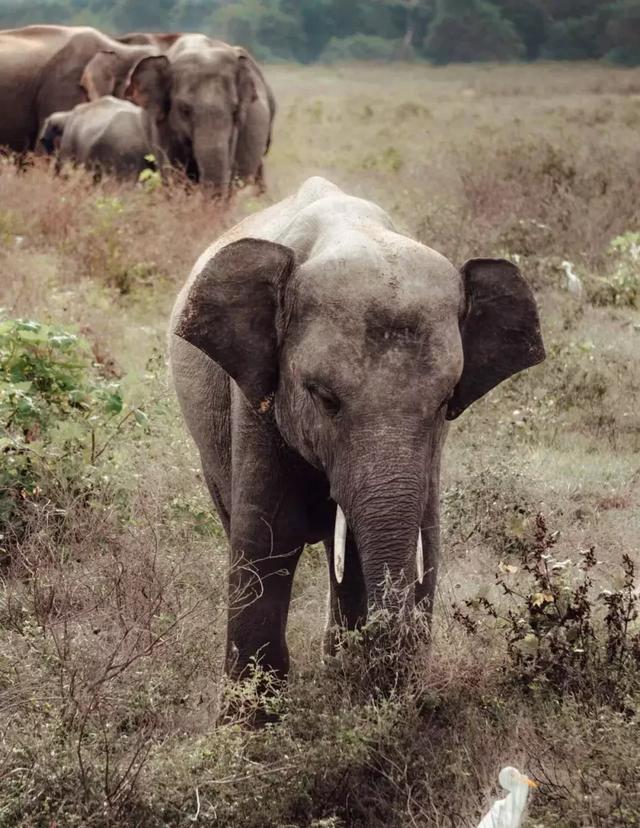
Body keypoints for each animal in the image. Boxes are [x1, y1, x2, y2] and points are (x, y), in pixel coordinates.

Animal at [170, 178, 544, 684]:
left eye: (445, 402)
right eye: (325, 399)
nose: (386, 640)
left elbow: (426, 543)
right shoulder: (253, 399)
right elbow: (265, 547)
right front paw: (251, 707)